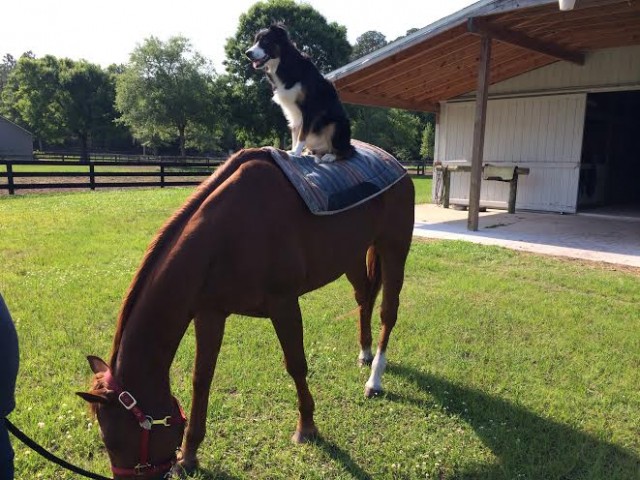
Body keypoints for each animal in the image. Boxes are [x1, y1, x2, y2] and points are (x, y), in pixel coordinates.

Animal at [76, 148, 416, 478]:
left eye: (113, 440)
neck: (225, 234)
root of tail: (396, 164)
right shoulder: (209, 313)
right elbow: (202, 379)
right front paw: (190, 455)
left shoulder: (284, 304)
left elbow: (296, 365)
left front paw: (306, 427)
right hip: (353, 257)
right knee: (364, 298)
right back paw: (365, 353)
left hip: (394, 249)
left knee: (388, 312)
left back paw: (374, 379)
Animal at [245, 24, 356, 162]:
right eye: (255, 41)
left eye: (265, 41)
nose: (247, 53)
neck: (283, 63)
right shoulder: (292, 111)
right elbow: (295, 132)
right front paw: (293, 150)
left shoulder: (309, 109)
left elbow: (302, 134)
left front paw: (296, 152)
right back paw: (310, 152)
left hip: (335, 125)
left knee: (347, 150)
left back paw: (330, 156)